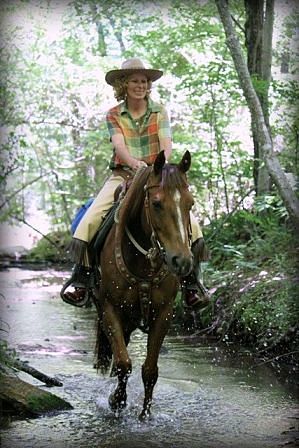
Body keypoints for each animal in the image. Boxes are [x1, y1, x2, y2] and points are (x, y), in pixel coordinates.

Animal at [94, 150, 196, 420]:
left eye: (190, 204)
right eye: (157, 203)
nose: (182, 261)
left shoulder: (164, 314)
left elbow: (150, 370)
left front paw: (145, 415)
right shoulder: (109, 308)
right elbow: (123, 364)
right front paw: (117, 402)